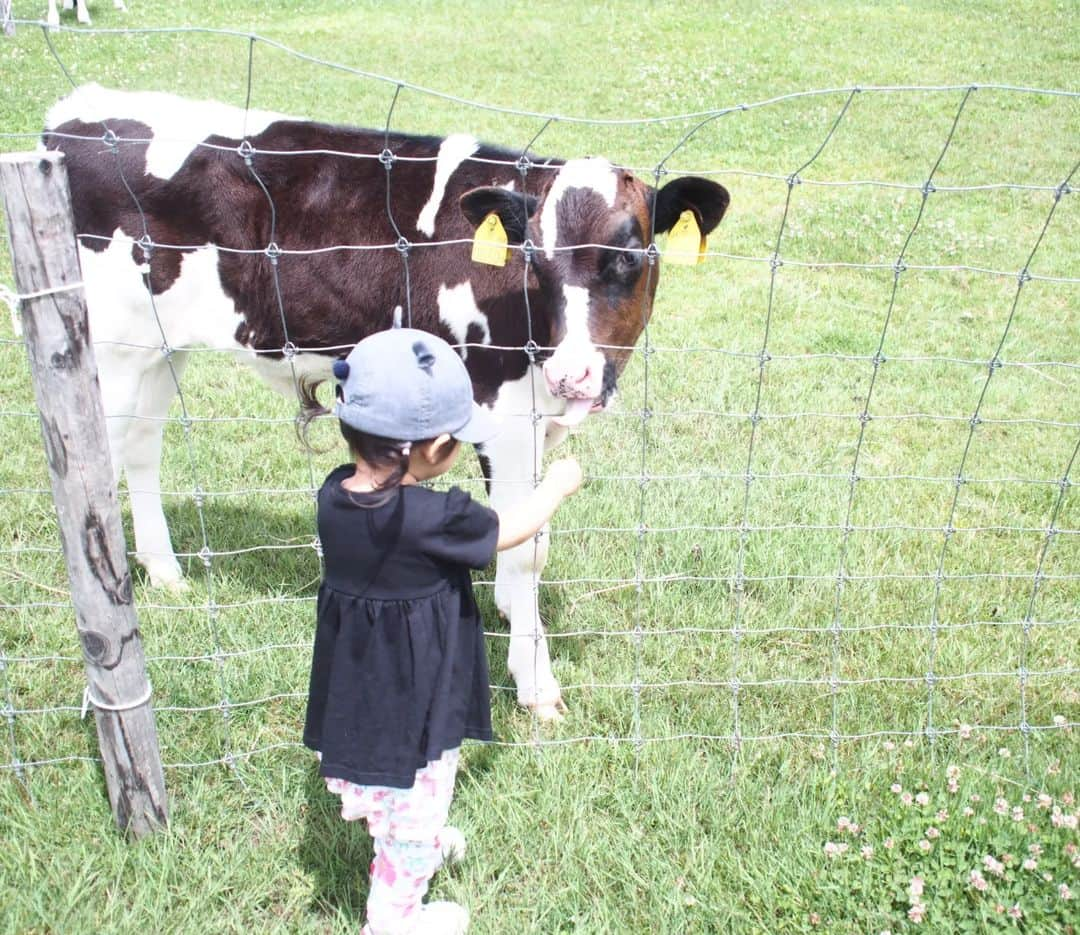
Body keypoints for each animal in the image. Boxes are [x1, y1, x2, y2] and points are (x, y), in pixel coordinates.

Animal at [44, 83, 734, 716]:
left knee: (142, 447)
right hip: (109, 344)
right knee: (94, 465)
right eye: (535, 263)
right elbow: (528, 546)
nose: (573, 375)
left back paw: (166, 572)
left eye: (629, 256)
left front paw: (511, 611)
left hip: (162, 345)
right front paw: (537, 686)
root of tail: (77, 107)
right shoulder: (506, 414)